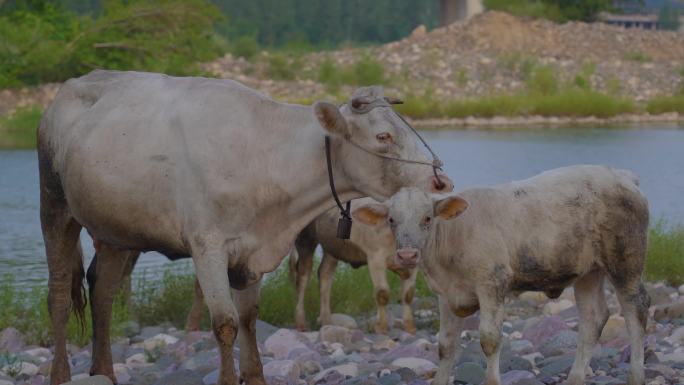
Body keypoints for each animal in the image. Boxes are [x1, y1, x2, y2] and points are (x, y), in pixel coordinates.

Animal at [288, 198, 416, 332]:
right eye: (392, 218)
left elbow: (408, 294)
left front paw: (410, 327)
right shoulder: (376, 257)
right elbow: (382, 293)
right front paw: (381, 327)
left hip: (332, 246)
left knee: (324, 273)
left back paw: (327, 322)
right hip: (305, 238)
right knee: (303, 275)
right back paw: (301, 323)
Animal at [356, 165, 648, 384]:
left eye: (427, 218)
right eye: (391, 220)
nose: (407, 255)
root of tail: (621, 175)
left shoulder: (492, 282)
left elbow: (489, 338)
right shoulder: (445, 293)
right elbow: (445, 345)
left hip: (626, 260)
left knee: (636, 313)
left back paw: (636, 376)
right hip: (588, 271)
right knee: (592, 319)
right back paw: (575, 378)